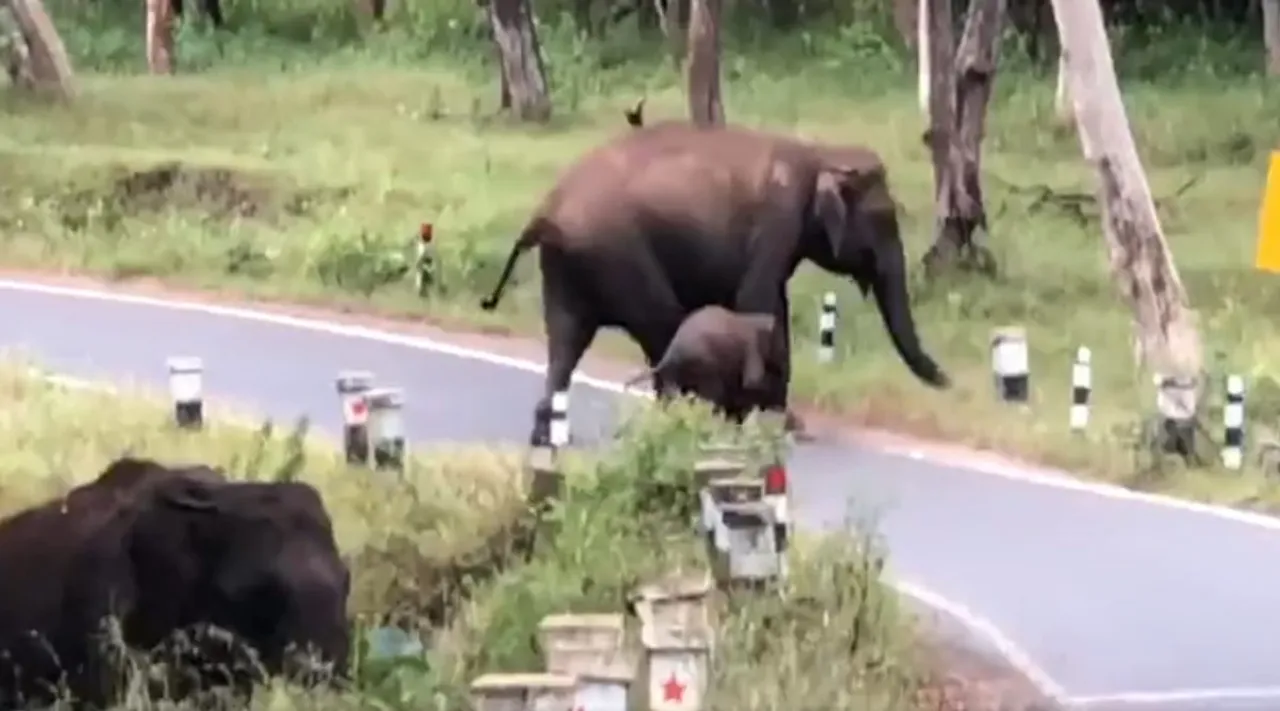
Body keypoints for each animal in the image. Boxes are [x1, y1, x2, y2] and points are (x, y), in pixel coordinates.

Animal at [622, 304, 778, 422]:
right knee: (711, 396)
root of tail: (672, 352)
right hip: (704, 365)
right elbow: (751, 382)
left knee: (673, 394)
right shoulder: (751, 348)